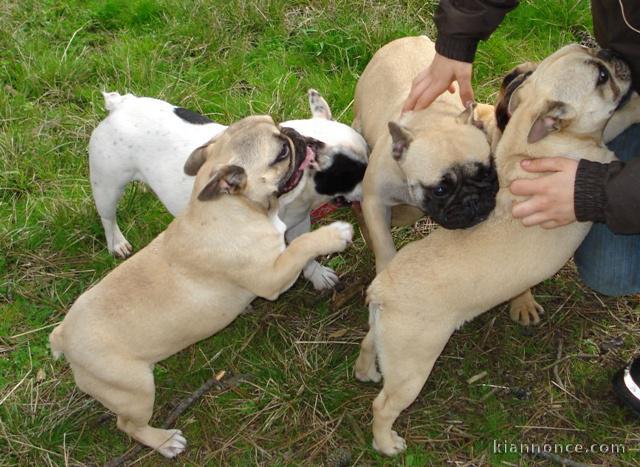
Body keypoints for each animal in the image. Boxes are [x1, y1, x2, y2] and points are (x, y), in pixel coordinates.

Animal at [91, 89, 370, 290]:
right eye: (354, 174)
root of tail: (120, 105)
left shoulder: (299, 224)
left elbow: (306, 250)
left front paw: (317, 274)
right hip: (107, 184)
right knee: (107, 216)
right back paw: (117, 242)